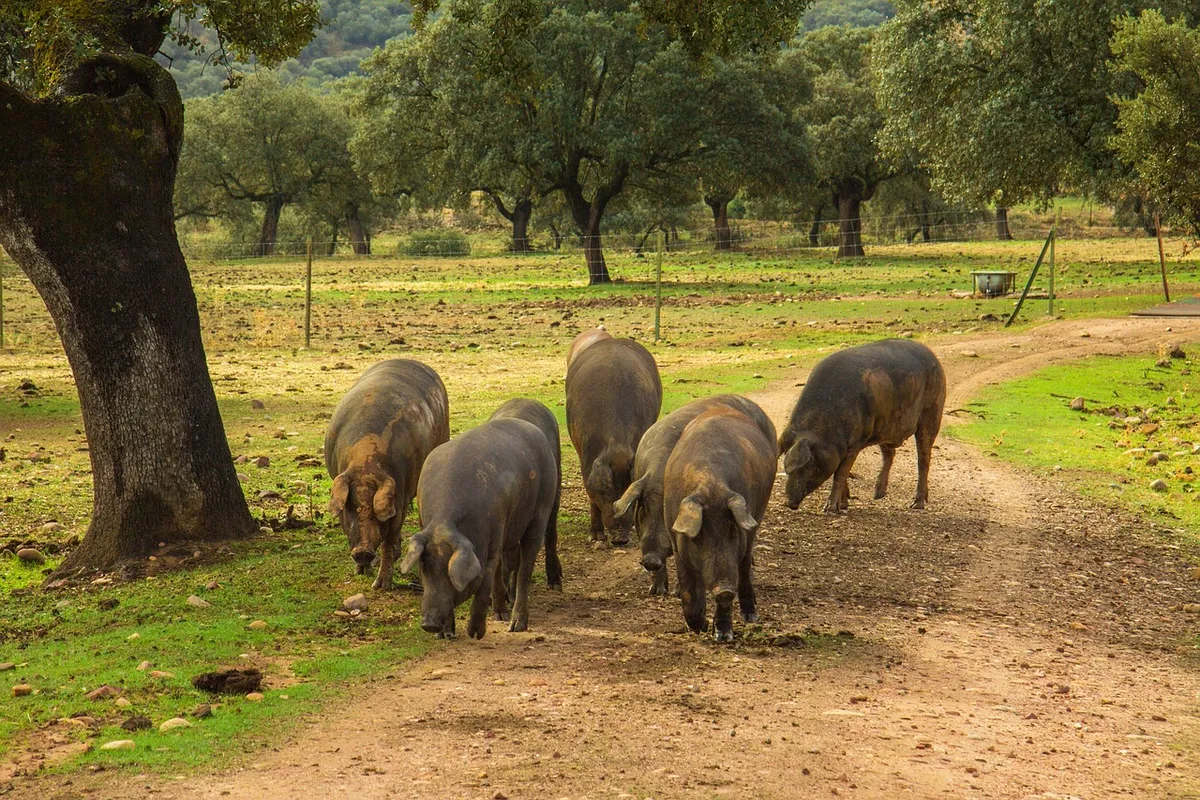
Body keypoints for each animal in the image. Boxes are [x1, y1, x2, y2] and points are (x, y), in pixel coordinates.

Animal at [325, 359, 450, 589]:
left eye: (375, 510)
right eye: (350, 508)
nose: (363, 551)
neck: (365, 464)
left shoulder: (399, 498)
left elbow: (389, 542)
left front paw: (380, 586)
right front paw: (360, 572)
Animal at [400, 417, 558, 638]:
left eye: (449, 571)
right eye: (424, 567)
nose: (428, 624)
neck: (444, 521)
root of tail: (533, 429)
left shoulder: (493, 534)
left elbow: (484, 582)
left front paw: (475, 634)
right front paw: (446, 636)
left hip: (542, 507)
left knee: (525, 568)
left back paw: (515, 625)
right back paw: (500, 615)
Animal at [663, 404, 777, 642]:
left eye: (732, 528)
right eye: (699, 535)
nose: (724, 588)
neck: (710, 484)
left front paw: (723, 636)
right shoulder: (676, 542)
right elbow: (689, 591)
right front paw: (701, 626)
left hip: (757, 516)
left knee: (744, 566)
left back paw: (751, 616)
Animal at [777, 339, 946, 513]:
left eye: (809, 464)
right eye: (786, 467)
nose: (789, 503)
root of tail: (932, 355)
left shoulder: (855, 443)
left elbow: (840, 474)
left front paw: (830, 509)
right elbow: (841, 472)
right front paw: (843, 505)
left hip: (932, 411)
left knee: (924, 458)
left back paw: (916, 504)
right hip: (884, 427)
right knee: (890, 454)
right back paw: (877, 495)